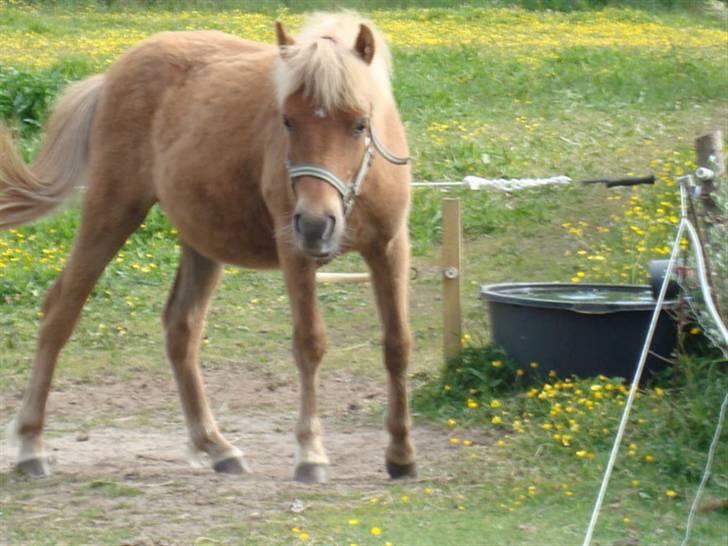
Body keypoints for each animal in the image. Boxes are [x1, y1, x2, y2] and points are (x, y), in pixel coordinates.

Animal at [1, 11, 416, 480]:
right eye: (287, 120)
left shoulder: (389, 248)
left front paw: (401, 453)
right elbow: (310, 343)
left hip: (202, 241)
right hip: (111, 212)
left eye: (360, 123)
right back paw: (31, 443)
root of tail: (110, 77)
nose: (314, 224)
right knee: (61, 310)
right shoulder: (295, 255)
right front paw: (310, 453)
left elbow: (398, 343)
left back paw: (216, 446)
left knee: (181, 328)